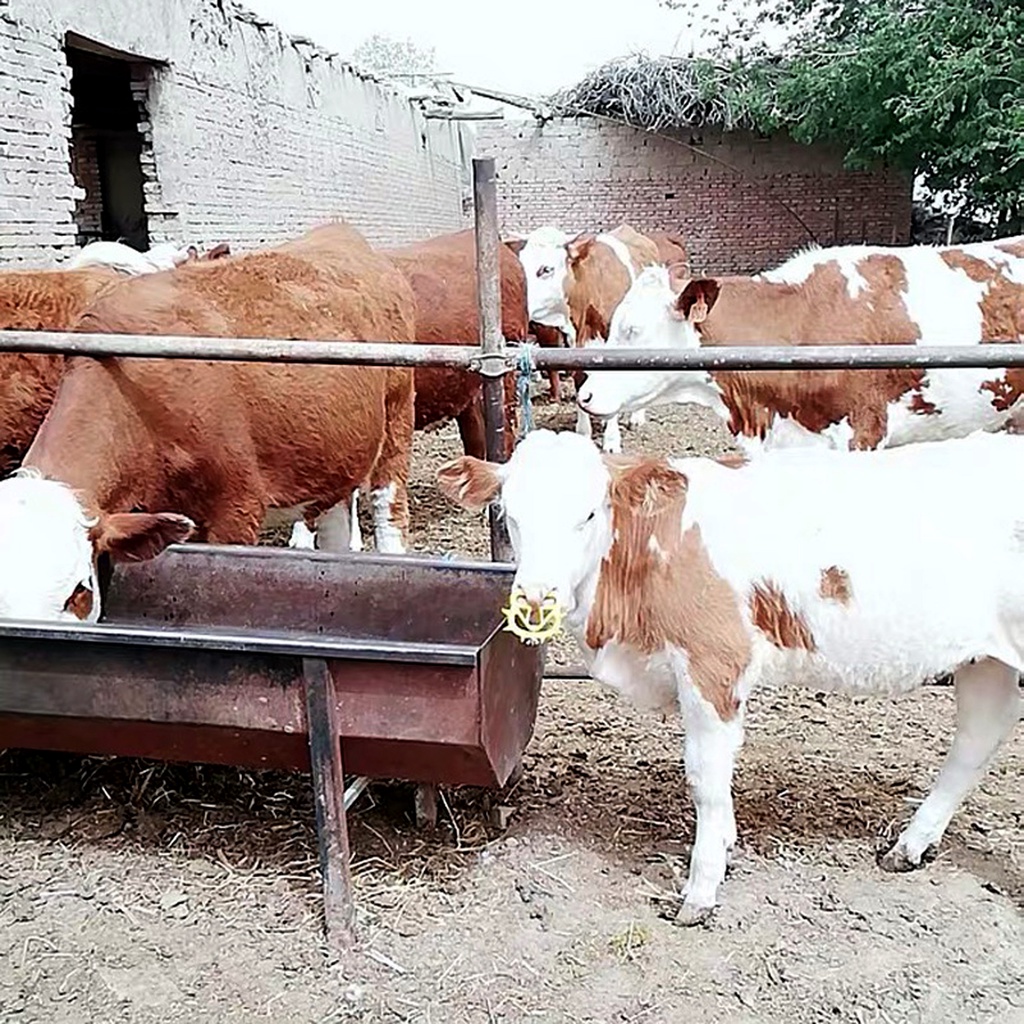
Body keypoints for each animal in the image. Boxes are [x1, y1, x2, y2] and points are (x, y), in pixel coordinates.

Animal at [436, 427, 1024, 925]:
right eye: (507, 514)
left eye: (587, 514)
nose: (536, 597)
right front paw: (723, 846)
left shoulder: (712, 663)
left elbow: (706, 778)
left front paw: (700, 890)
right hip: (989, 662)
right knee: (973, 746)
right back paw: (909, 845)